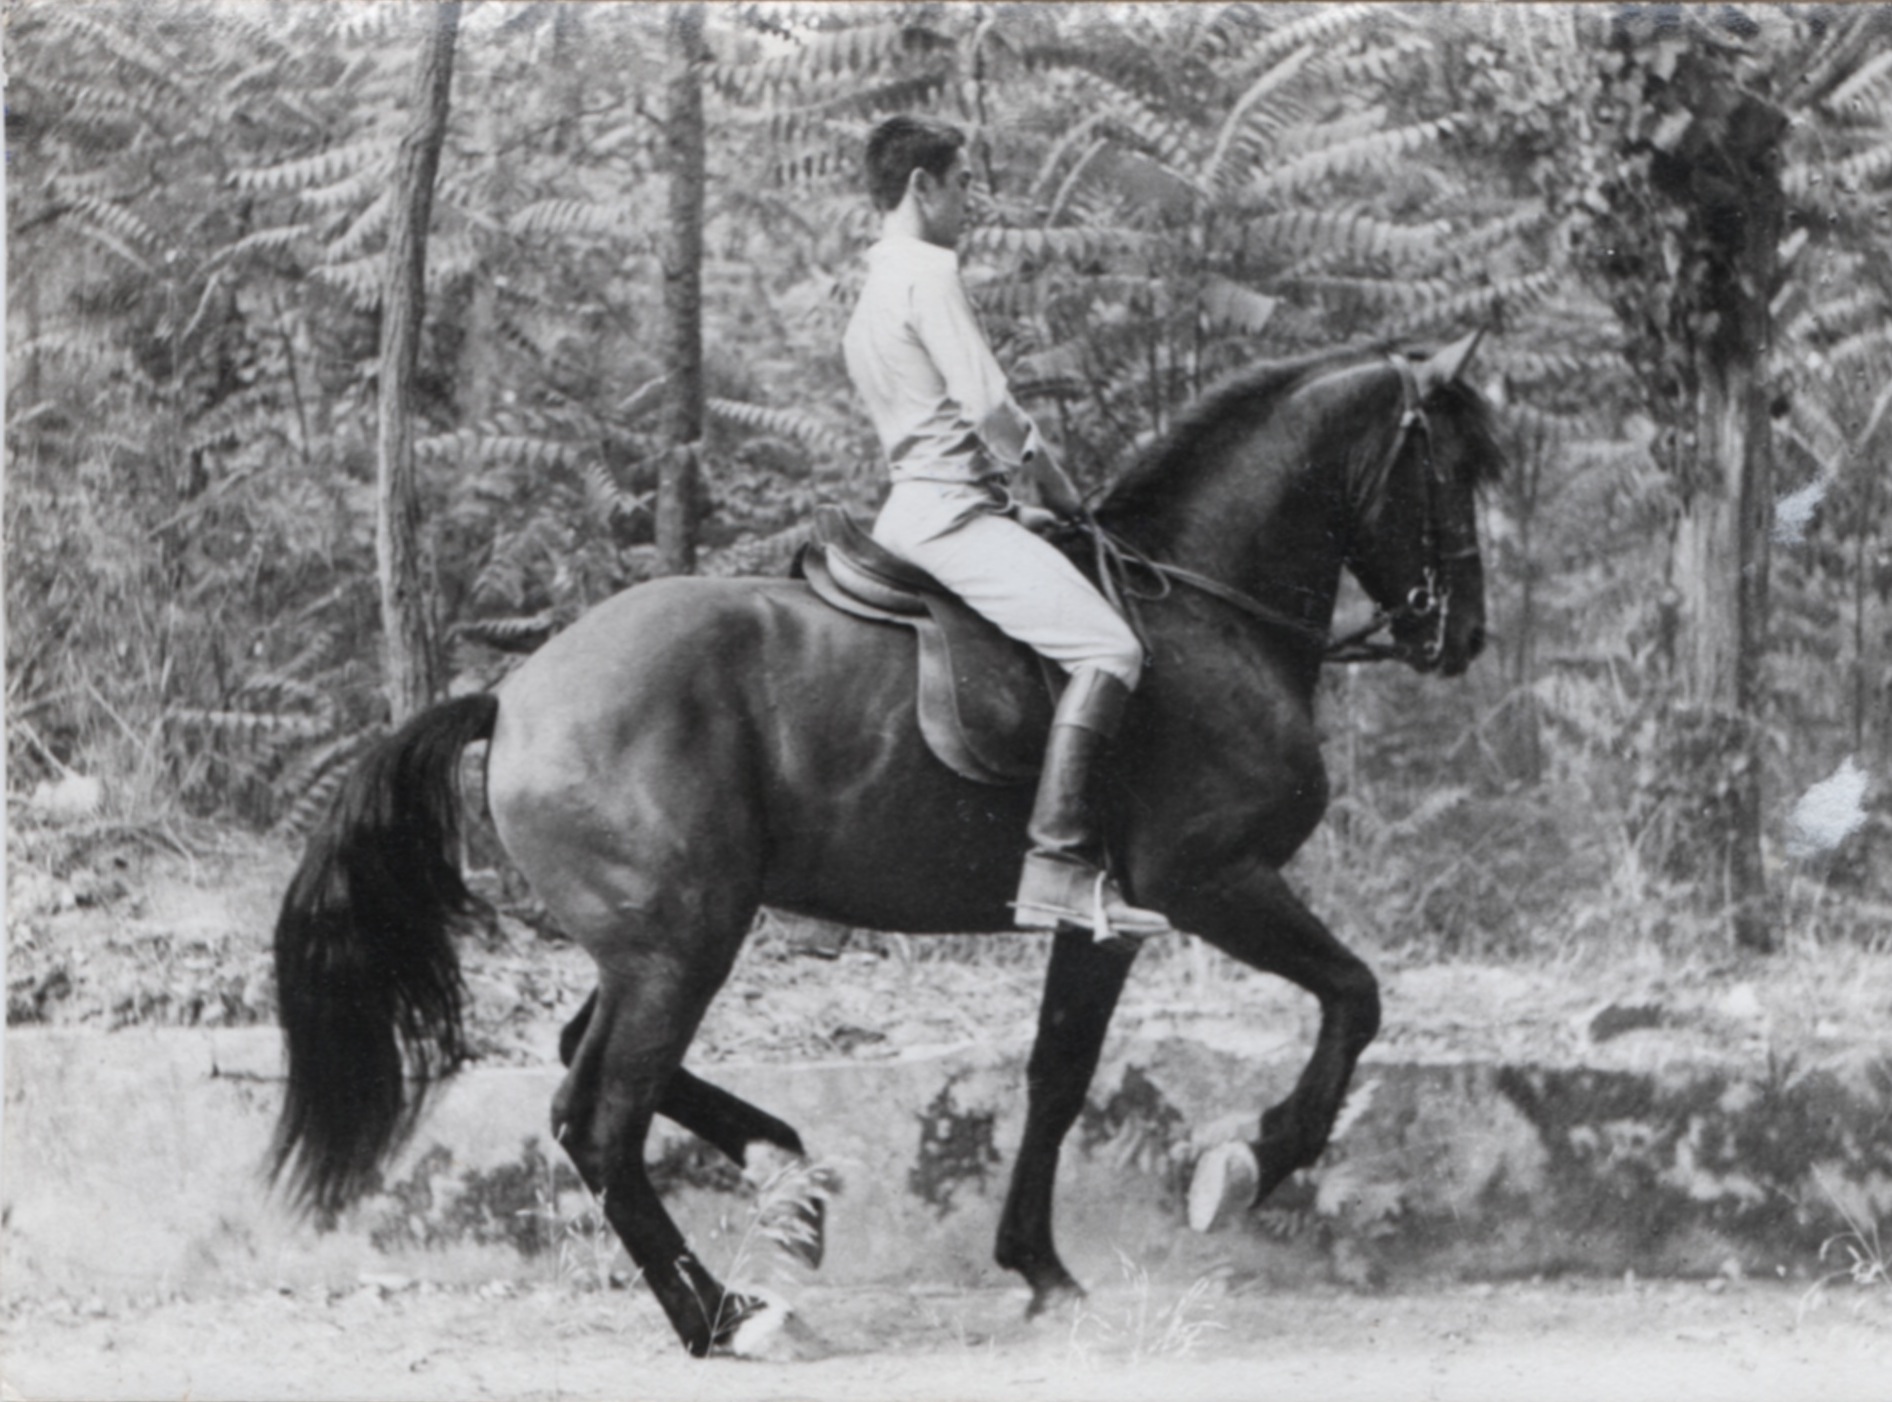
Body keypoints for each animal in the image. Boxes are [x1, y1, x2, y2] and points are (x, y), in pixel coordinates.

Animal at [270, 332, 1506, 1347]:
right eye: (1449, 470)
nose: (1461, 636)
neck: (1209, 614)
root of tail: (514, 694)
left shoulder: (1100, 920)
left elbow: (1057, 1074)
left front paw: (1039, 1267)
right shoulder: (1207, 881)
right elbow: (1353, 997)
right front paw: (1249, 1162)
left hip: (654, 941)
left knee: (590, 1057)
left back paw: (786, 1173)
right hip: (682, 943)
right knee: (599, 1118)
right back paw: (724, 1316)